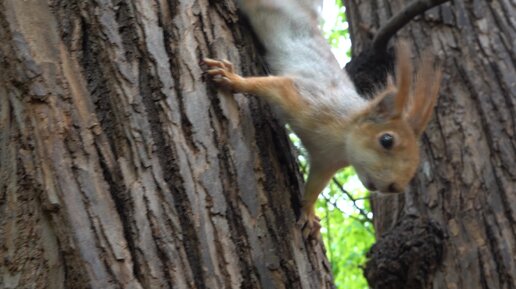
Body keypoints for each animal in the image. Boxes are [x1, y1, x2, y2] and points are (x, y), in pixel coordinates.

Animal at [202, 0, 440, 237]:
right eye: (387, 140)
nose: (394, 188)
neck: (342, 140)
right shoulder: (306, 98)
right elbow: (267, 85)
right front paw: (233, 79)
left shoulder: (325, 162)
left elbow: (315, 186)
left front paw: (308, 211)